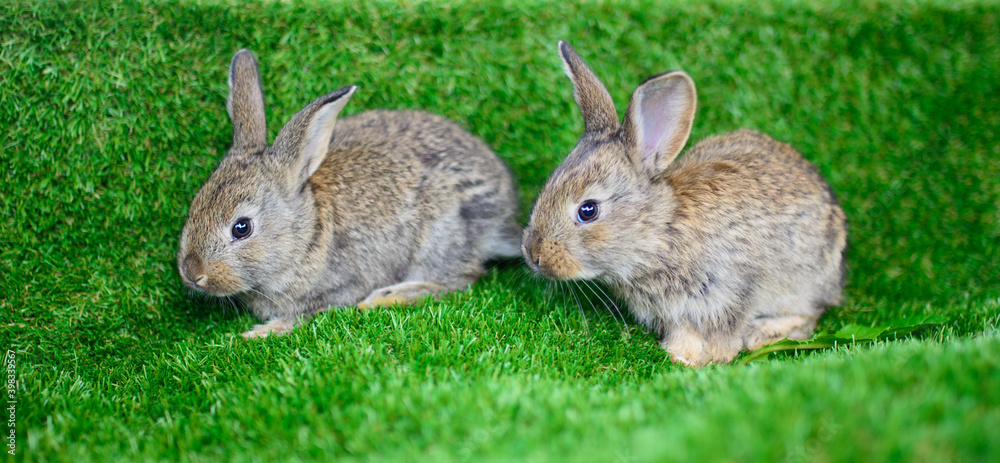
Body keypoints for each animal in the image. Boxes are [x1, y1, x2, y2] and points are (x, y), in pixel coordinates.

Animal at [178, 49, 521, 339]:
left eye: (242, 228)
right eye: (195, 205)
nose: (192, 274)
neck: (307, 235)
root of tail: (502, 219)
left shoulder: (341, 287)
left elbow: (303, 315)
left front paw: (257, 333)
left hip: (439, 237)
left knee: (461, 279)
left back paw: (388, 297)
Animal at [522, 41, 847, 366]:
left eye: (588, 210)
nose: (533, 255)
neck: (660, 232)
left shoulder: (731, 291)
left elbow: (724, 333)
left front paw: (702, 358)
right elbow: (685, 331)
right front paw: (680, 353)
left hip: (803, 281)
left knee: (809, 315)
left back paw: (762, 334)